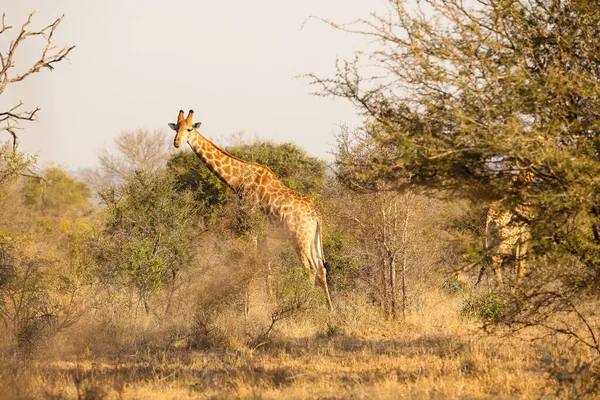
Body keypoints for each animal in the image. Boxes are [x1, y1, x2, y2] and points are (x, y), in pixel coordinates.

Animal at [168, 109, 332, 310]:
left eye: (189, 129)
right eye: (176, 128)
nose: (176, 143)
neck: (237, 179)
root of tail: (316, 215)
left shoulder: (250, 225)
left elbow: (251, 262)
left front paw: (248, 304)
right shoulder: (263, 233)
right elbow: (266, 266)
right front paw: (270, 301)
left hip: (299, 238)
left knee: (308, 269)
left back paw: (306, 304)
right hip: (313, 238)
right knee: (321, 268)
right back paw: (330, 310)